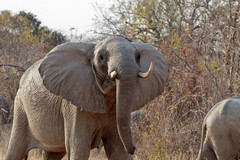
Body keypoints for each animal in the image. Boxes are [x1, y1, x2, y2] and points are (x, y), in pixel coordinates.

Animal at [4, 35, 168, 159]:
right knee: (15, 151)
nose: (134, 148)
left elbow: (118, 150)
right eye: (101, 57)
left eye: (138, 56)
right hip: (20, 108)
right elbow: (79, 146)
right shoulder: (73, 106)